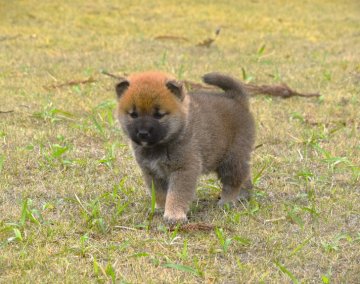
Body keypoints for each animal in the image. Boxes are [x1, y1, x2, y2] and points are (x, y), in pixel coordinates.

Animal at [116, 71, 256, 224]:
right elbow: (160, 193)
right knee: (245, 175)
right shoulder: (152, 173)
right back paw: (243, 195)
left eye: (158, 115)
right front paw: (161, 208)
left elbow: (176, 194)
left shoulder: (183, 169)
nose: (143, 133)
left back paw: (228, 201)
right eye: (133, 114)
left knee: (233, 181)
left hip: (232, 159)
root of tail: (236, 99)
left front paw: (174, 215)